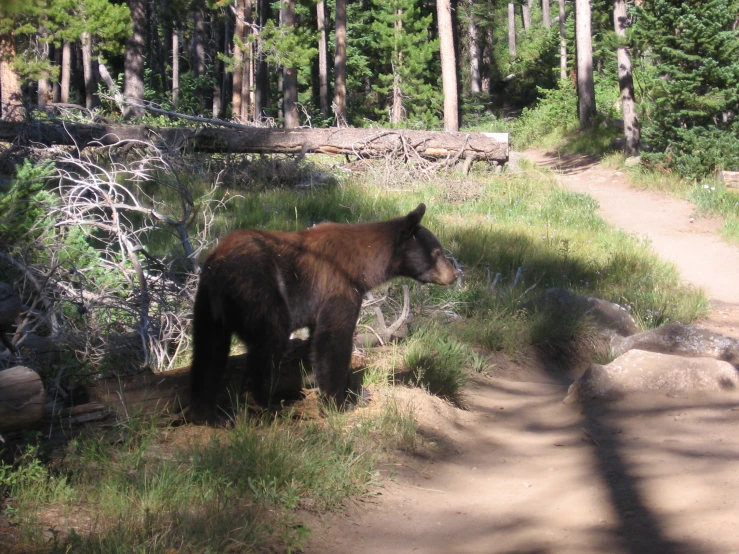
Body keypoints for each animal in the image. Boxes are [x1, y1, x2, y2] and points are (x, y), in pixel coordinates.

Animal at [189, 205, 456, 420]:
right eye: (437, 253)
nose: (454, 275)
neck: (365, 262)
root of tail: (218, 269)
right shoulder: (339, 286)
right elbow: (333, 340)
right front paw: (339, 402)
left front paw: (354, 392)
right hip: (258, 292)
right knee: (268, 342)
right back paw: (266, 406)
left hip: (207, 308)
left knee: (208, 353)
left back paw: (207, 413)